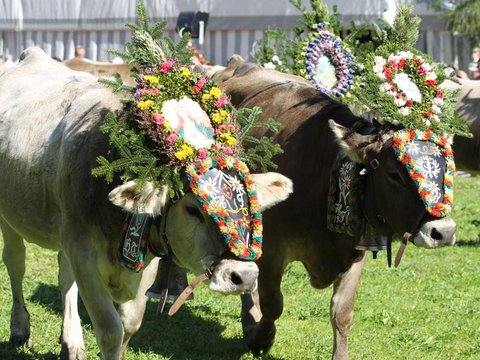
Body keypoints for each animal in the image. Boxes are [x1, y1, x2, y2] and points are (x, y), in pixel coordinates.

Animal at [0, 48, 292, 360]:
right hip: (11, 218)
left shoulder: (141, 254)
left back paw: (71, 341)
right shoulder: (83, 252)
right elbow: (110, 330)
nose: (244, 277)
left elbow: (130, 322)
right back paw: (20, 329)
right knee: (16, 264)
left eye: (247, 204)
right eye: (193, 209)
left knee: (64, 275)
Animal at [213, 56, 458, 358]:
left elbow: (342, 311)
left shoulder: (356, 247)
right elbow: (273, 303)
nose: (443, 232)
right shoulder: (272, 248)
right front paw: (261, 338)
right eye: (394, 175)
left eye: (446, 167)